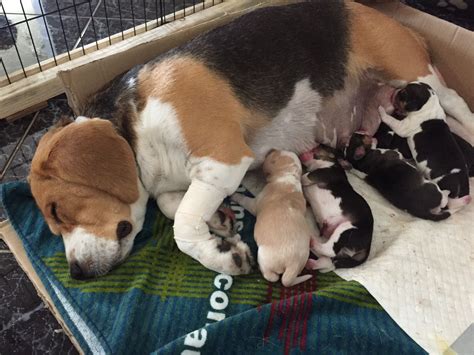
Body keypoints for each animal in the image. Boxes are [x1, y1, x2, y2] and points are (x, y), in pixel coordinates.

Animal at [231, 151, 312, 290]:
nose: (271, 150)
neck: (288, 176)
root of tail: (292, 264)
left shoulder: (254, 204)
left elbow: (243, 199)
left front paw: (235, 195)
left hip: (263, 256)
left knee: (272, 277)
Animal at [378, 82, 470, 213]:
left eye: (403, 93)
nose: (396, 90)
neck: (429, 106)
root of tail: (463, 186)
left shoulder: (403, 126)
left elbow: (390, 119)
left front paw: (381, 110)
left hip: (444, 185)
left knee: (447, 204)